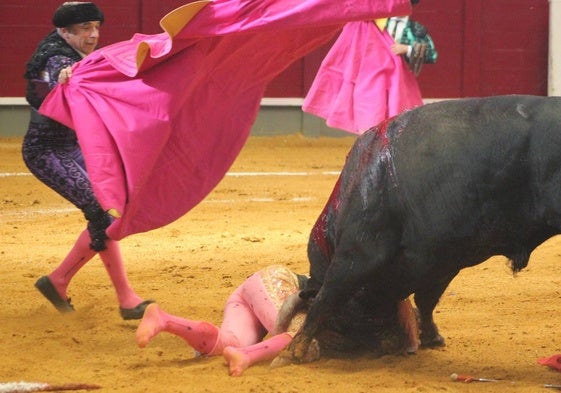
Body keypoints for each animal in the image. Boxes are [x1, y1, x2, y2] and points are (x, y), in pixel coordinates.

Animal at [286, 95, 560, 362]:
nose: (391, 345)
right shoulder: (441, 260)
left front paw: (295, 348)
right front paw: (431, 336)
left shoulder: (360, 251)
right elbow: (426, 300)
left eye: (340, 323)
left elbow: (328, 293)